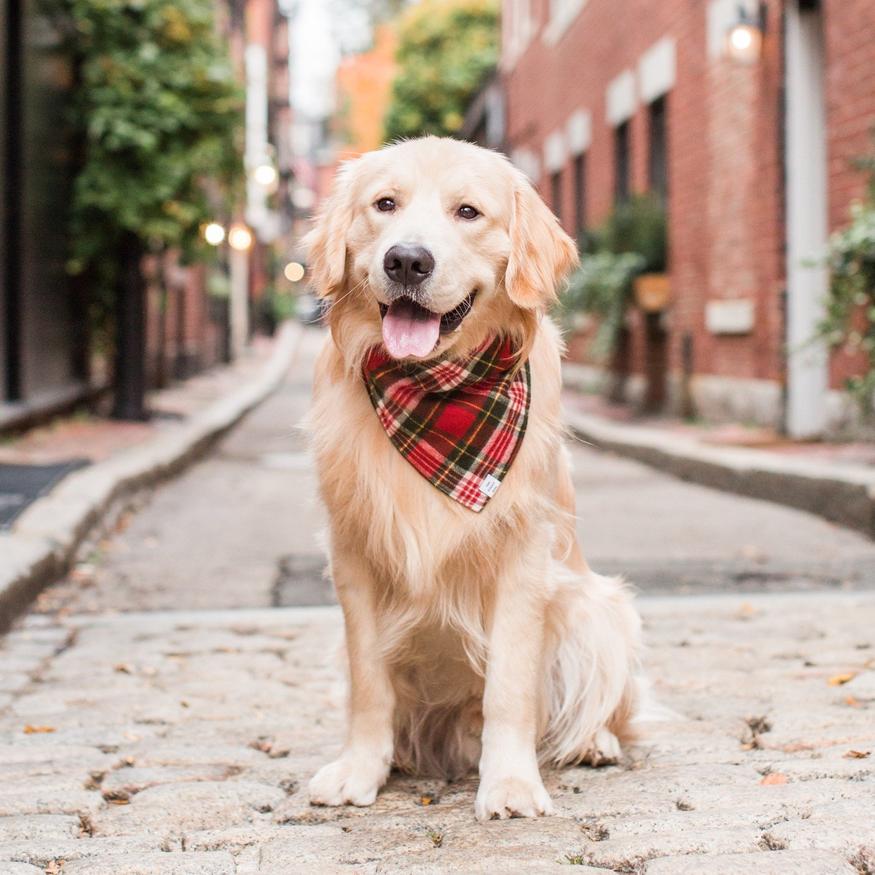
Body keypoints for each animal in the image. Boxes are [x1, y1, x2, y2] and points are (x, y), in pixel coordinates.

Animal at [304, 137, 640, 820]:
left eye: (468, 212)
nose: (407, 260)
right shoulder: (352, 553)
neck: (437, 392)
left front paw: (509, 782)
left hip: (597, 610)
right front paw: (360, 769)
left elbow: (510, 685)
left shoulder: (523, 553)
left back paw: (594, 743)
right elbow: (369, 682)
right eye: (385, 204)